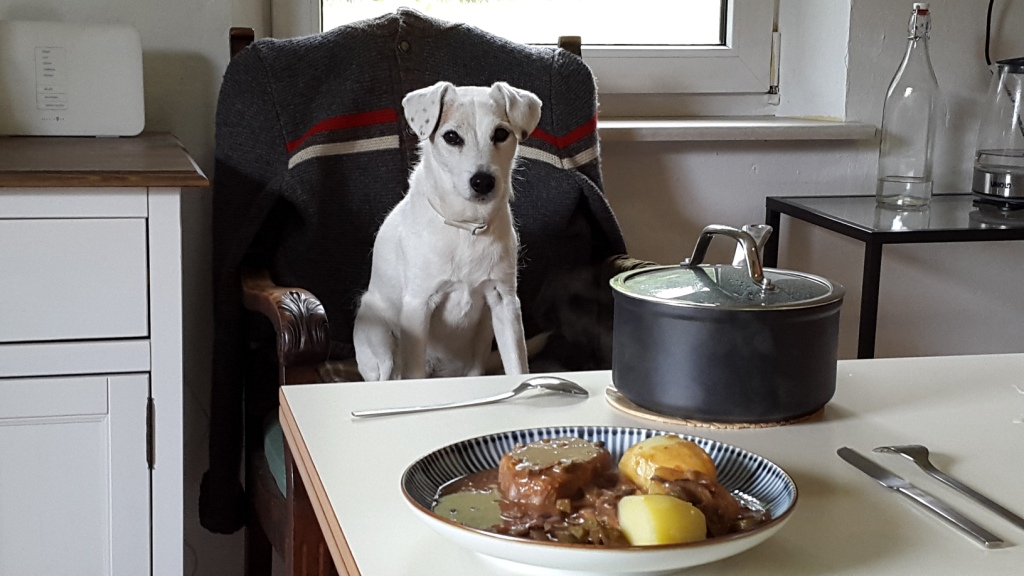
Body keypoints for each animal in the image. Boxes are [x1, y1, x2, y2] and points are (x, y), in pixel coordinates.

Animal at [353, 81, 543, 381]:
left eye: (501, 134)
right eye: (451, 137)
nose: (483, 181)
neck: (466, 226)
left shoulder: (505, 302)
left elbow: (517, 364)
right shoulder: (418, 305)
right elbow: (414, 373)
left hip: (484, 331)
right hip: (380, 342)